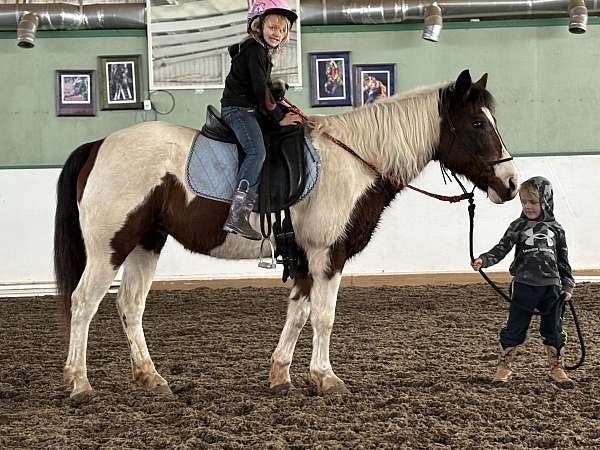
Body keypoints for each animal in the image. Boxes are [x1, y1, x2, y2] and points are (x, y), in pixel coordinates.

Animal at [52, 70, 520, 398]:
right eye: (477, 124)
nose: (512, 183)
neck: (356, 162)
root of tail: (98, 145)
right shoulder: (327, 255)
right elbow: (324, 316)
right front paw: (326, 378)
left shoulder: (305, 260)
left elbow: (298, 313)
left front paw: (281, 376)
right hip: (109, 247)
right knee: (84, 303)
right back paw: (79, 384)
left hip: (145, 243)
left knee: (130, 306)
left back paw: (151, 378)